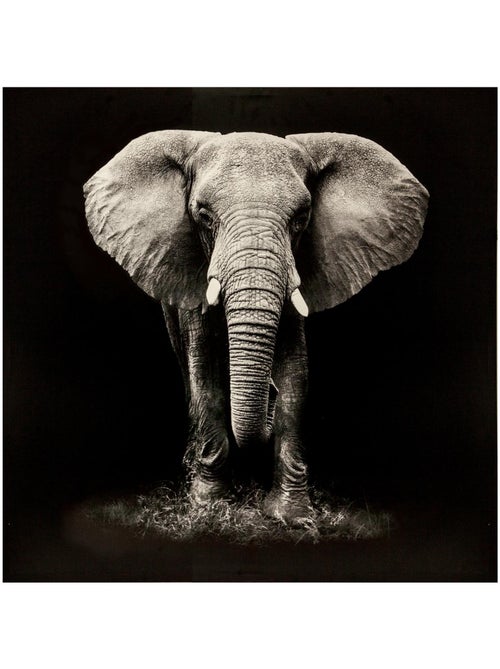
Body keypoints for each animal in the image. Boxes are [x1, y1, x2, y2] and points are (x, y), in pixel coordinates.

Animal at [84, 130, 428, 526]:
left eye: (301, 218)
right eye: (204, 216)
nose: (269, 394)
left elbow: (296, 377)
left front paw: (292, 516)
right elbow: (205, 374)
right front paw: (209, 507)